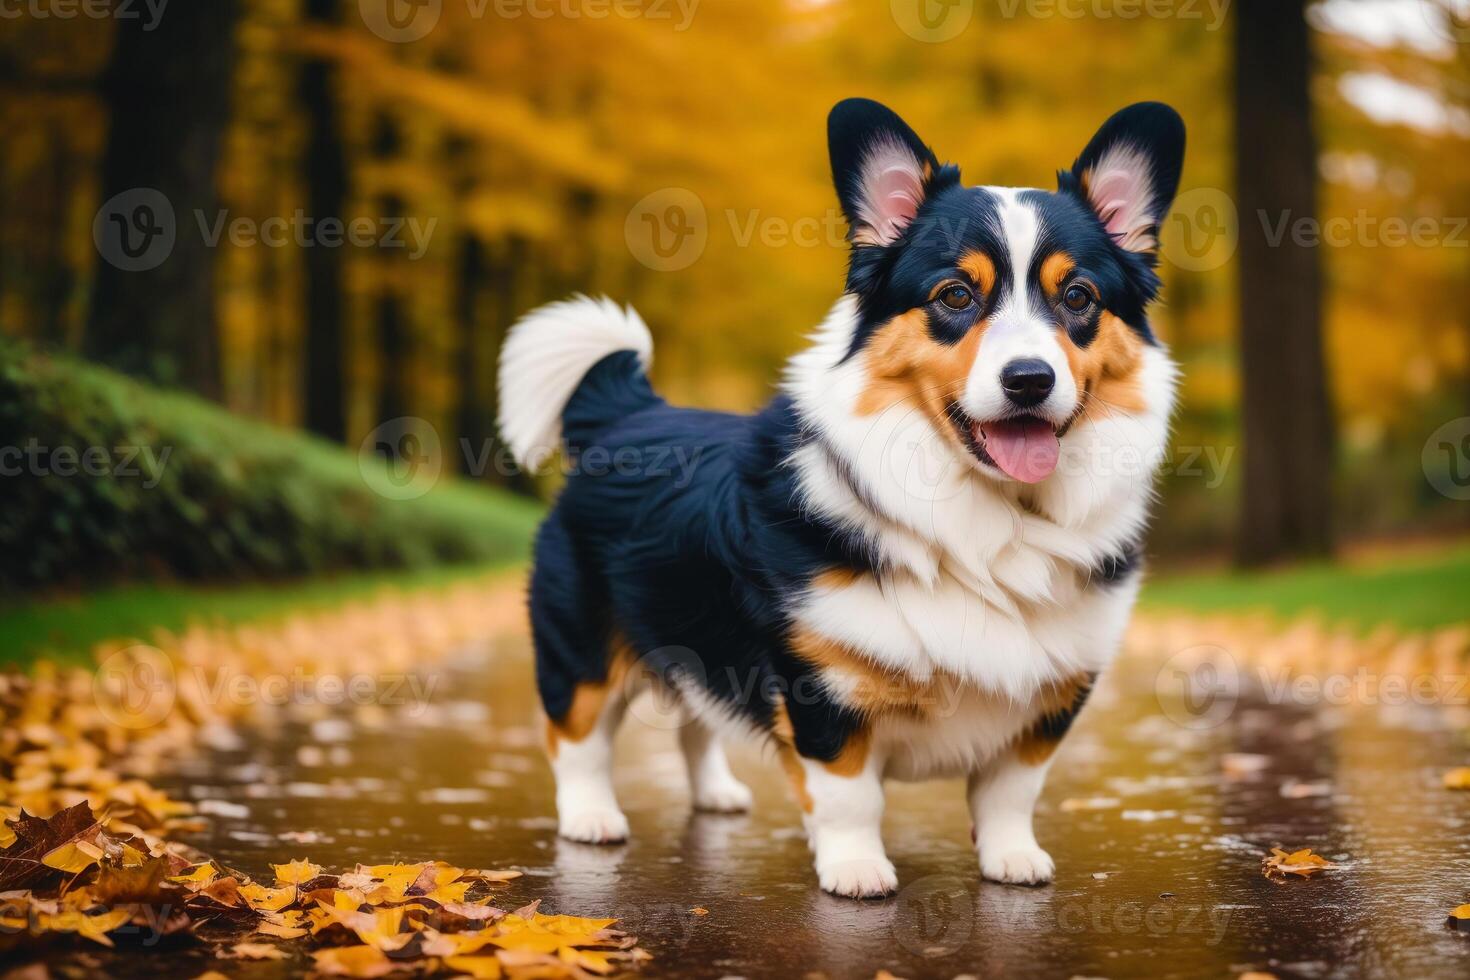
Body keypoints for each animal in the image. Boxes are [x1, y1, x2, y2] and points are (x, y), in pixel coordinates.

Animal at [493, 97, 1181, 899]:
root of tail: (628, 412)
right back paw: (591, 818)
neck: (990, 516)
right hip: (581, 648)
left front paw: (1011, 857)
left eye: (1078, 298)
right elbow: (851, 794)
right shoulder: (822, 686)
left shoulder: (1050, 699)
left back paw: (716, 794)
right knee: (575, 736)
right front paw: (855, 868)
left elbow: (1011, 790)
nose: (1030, 380)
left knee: (696, 718)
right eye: (956, 295)